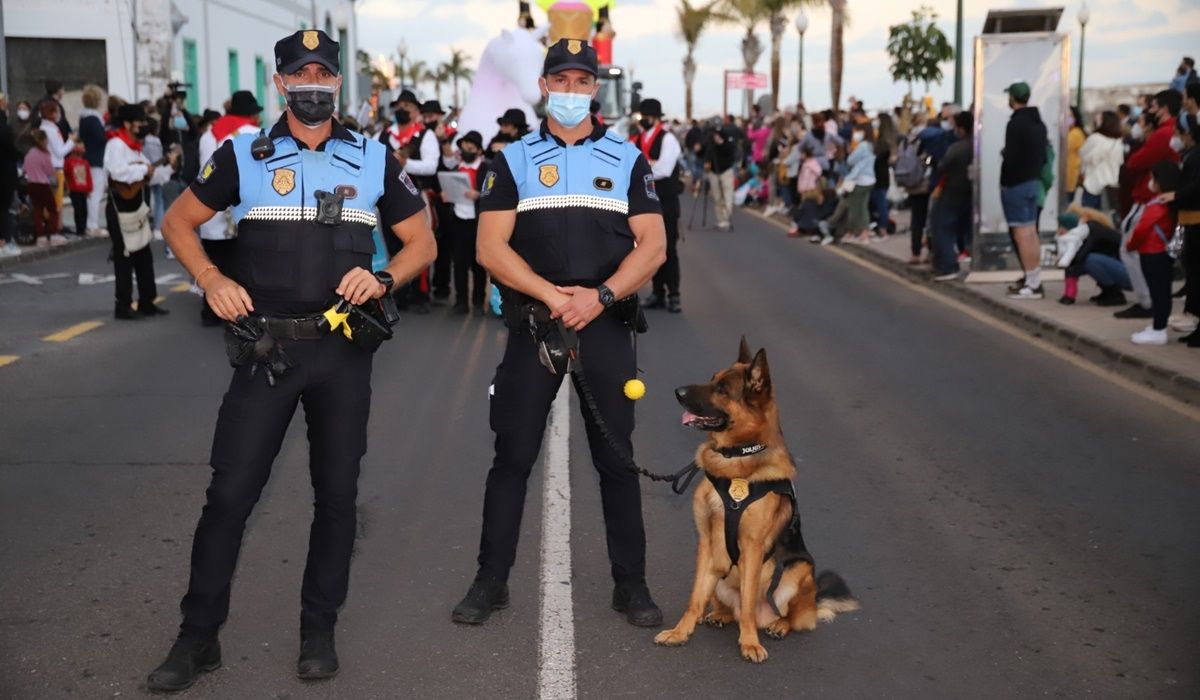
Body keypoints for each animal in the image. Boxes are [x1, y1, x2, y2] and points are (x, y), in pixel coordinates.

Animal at [652, 338, 859, 662]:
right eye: (711, 379)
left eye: (722, 388)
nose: (678, 391)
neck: (735, 459)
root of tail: (813, 605)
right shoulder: (707, 543)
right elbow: (694, 598)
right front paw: (680, 632)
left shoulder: (752, 548)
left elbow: (749, 602)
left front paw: (749, 642)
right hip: (721, 577)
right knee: (728, 606)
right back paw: (720, 615)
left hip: (798, 570)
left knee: (785, 616)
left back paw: (777, 625)